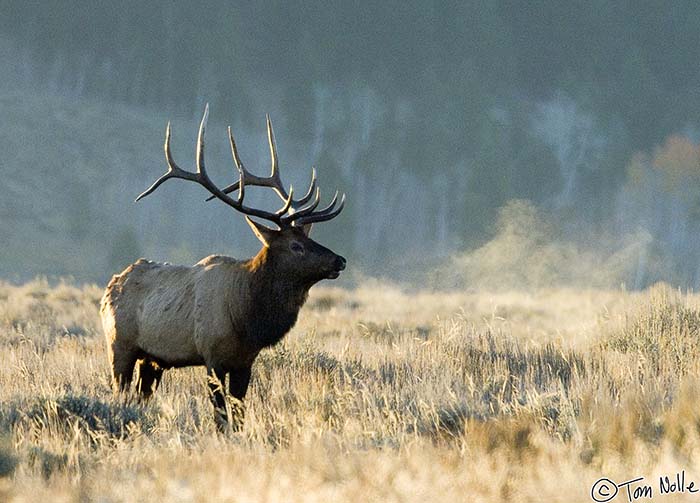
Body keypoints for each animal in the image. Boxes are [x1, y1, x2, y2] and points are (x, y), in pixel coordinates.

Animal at [99, 104, 348, 432]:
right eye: (296, 246)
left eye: (310, 239)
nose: (339, 260)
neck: (247, 317)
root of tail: (109, 288)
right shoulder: (212, 356)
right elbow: (220, 414)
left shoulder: (245, 361)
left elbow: (239, 412)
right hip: (120, 345)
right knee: (121, 391)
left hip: (152, 359)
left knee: (142, 395)